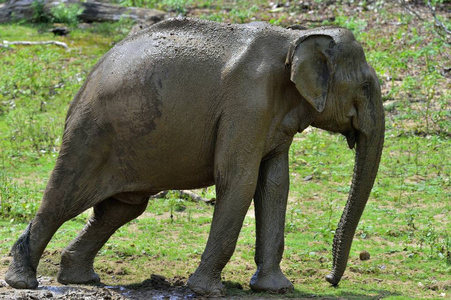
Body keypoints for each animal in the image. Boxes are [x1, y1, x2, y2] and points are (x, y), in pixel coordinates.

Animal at [4, 17, 384, 296]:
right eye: (366, 86)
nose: (329, 280)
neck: (295, 37)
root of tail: (88, 76)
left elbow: (275, 185)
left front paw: (276, 289)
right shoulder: (247, 104)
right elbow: (238, 180)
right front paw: (207, 291)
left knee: (121, 208)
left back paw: (80, 279)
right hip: (91, 134)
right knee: (63, 198)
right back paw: (21, 281)